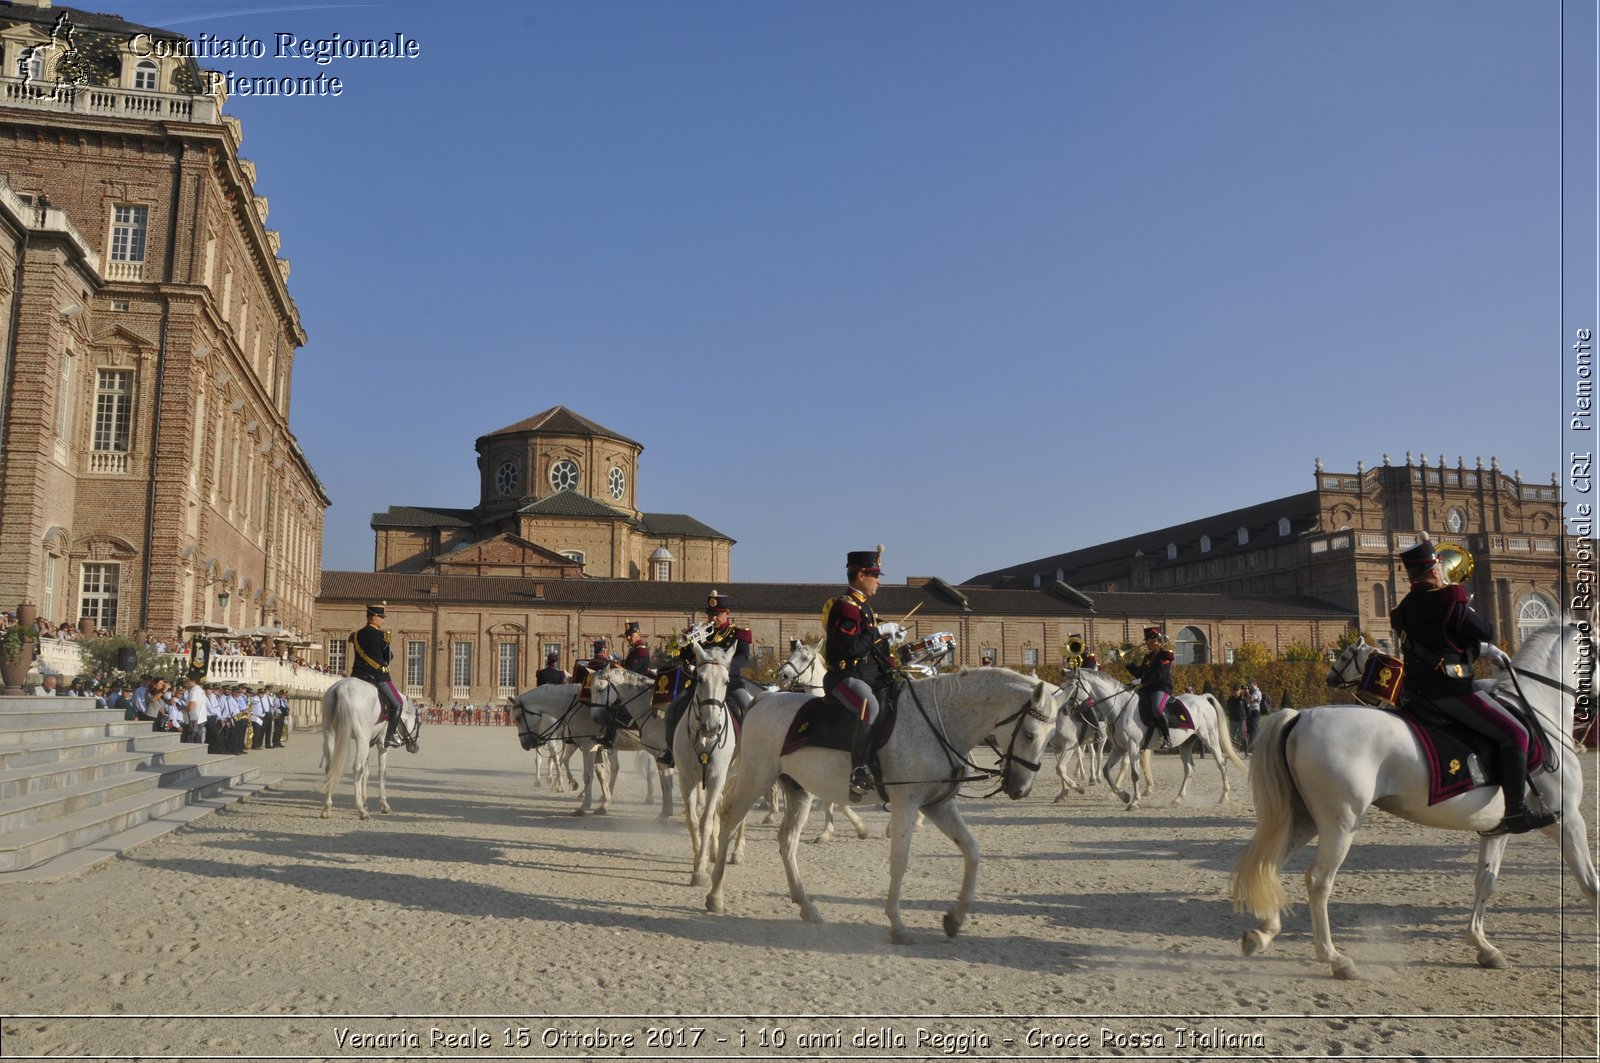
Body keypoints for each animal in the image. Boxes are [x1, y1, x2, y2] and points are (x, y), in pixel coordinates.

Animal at [315, 681, 419, 819]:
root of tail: (343, 687)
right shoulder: (382, 745)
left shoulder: (369, 745)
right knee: (357, 768)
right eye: (419, 723)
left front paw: (365, 802)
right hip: (362, 739)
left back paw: (327, 808)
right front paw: (383, 805)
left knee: (330, 768)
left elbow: (366, 772)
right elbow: (381, 772)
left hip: (330, 735)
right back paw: (360, 810)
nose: (415, 747)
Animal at [704, 669, 1056, 941]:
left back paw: (806, 905)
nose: (1021, 788)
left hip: (798, 790)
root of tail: (765, 699)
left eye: (1051, 735)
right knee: (729, 818)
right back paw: (715, 894)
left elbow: (972, 850)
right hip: (756, 778)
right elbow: (899, 861)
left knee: (787, 841)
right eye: (1029, 734)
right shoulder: (907, 803)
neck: (938, 720)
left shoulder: (938, 806)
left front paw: (955, 918)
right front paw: (898, 925)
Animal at [1062, 665, 1248, 806]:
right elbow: (1107, 771)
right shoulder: (1119, 748)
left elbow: (1134, 774)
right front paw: (1124, 796)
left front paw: (1134, 801)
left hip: (1209, 738)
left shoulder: (1133, 746)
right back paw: (1178, 799)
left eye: (1071, 686)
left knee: (1221, 763)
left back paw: (1224, 796)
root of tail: (1202, 697)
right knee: (1189, 769)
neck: (1120, 707)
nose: (1064, 709)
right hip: (1186, 743)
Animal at [1228, 624, 1593, 979]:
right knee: (1318, 881)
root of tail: (1301, 716)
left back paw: (1262, 934)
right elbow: (1590, 884)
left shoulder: (1497, 829)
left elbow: (1485, 882)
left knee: (1270, 865)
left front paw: (1484, 947)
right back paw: (1334, 958)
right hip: (1340, 825)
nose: (1331, 679)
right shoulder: (1568, 820)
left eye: (1344, 655)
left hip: (1304, 820)